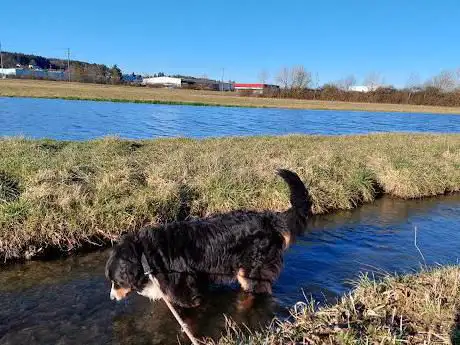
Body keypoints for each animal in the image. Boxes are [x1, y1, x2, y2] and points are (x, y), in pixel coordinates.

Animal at [106, 169, 310, 306]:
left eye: (116, 282)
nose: (112, 298)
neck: (145, 255)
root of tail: (269, 218)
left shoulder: (184, 290)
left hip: (252, 271)